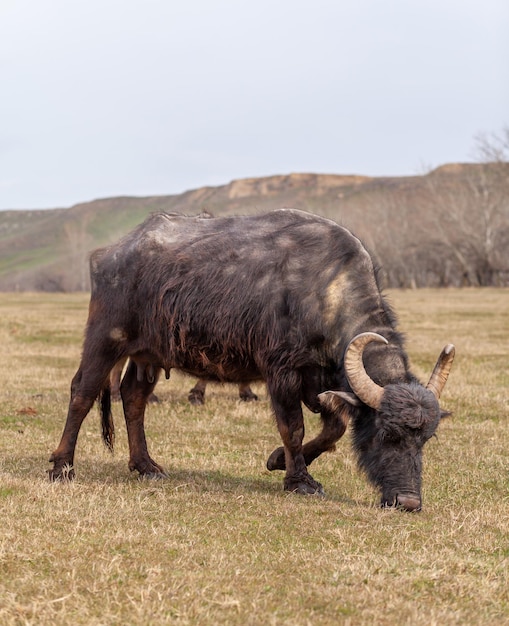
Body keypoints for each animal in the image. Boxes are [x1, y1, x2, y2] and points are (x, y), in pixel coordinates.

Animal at [47, 207, 454, 510]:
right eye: (386, 434)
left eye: (425, 439)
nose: (408, 502)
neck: (323, 291)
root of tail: (111, 253)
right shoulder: (281, 372)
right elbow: (293, 427)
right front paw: (299, 480)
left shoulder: (323, 378)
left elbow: (334, 430)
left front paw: (278, 460)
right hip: (106, 337)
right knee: (82, 392)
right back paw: (62, 465)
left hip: (149, 355)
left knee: (133, 399)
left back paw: (145, 465)